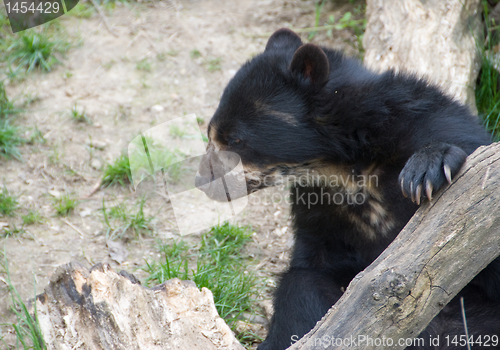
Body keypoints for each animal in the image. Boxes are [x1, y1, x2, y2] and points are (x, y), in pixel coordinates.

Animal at [195, 28, 500, 348]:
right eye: (211, 134)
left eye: (236, 140)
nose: (201, 181)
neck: (341, 167)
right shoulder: (319, 210)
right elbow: (310, 272)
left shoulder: (434, 124)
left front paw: (428, 167)